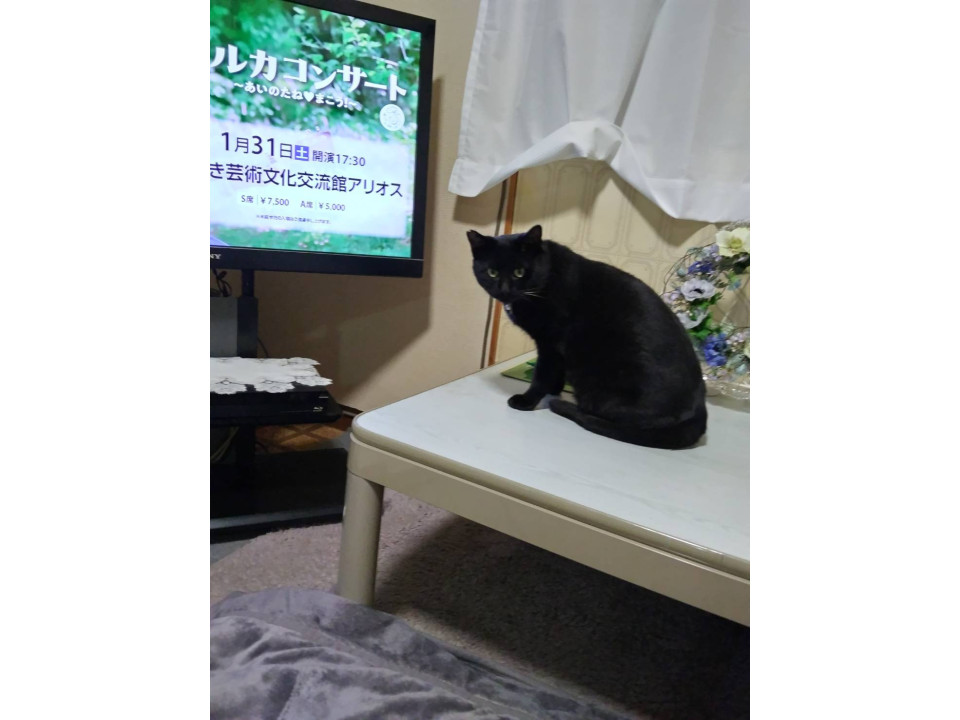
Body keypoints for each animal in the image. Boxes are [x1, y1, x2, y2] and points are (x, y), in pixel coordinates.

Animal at [467, 224, 707, 449]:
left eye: (519, 272)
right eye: (492, 273)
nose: (504, 290)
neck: (546, 278)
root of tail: (700, 412)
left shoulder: (550, 343)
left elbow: (542, 374)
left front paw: (527, 401)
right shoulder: (553, 348)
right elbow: (554, 373)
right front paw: (554, 390)